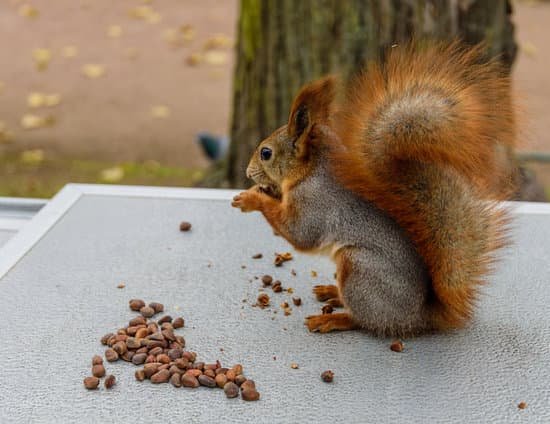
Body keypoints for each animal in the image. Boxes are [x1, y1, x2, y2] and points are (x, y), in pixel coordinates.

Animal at [232, 41, 516, 336]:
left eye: (266, 153)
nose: (247, 172)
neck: (311, 171)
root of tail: (419, 316)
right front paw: (267, 192)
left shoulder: (314, 204)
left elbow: (300, 234)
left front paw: (251, 199)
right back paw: (331, 291)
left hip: (359, 269)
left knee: (365, 321)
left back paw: (332, 318)